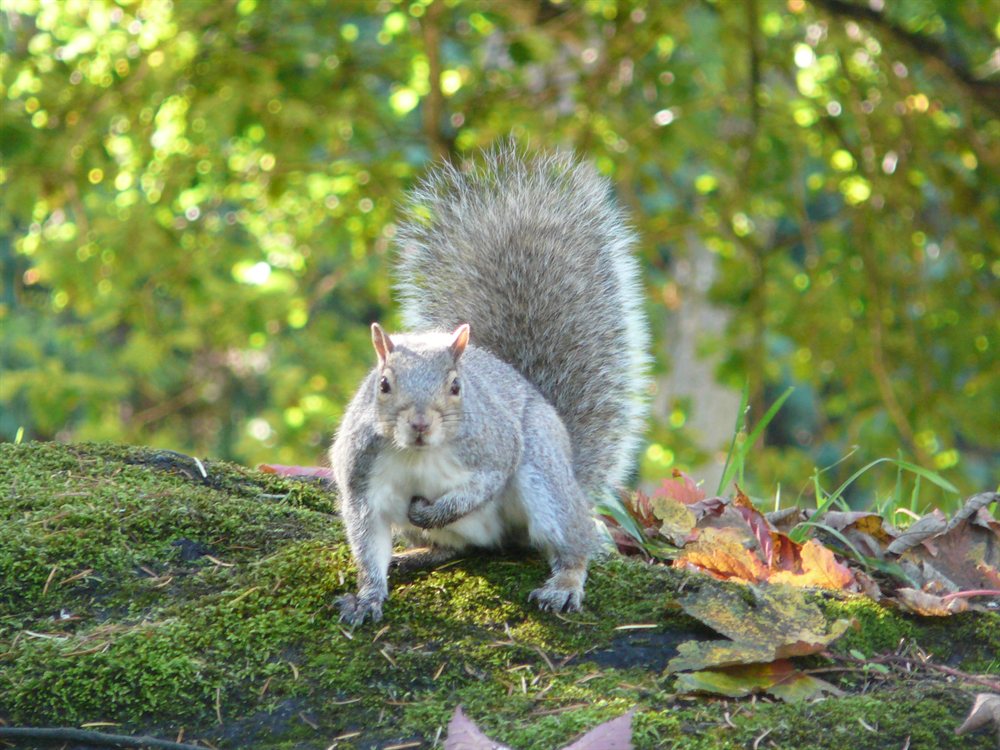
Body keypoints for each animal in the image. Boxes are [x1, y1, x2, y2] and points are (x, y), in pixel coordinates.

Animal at [330, 143, 650, 625]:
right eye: (383, 384)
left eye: (456, 386)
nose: (420, 425)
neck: (419, 454)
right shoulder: (361, 478)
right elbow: (368, 545)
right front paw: (367, 596)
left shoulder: (495, 446)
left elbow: (487, 480)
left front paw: (437, 510)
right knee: (458, 549)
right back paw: (417, 555)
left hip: (544, 474)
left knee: (573, 543)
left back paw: (563, 583)